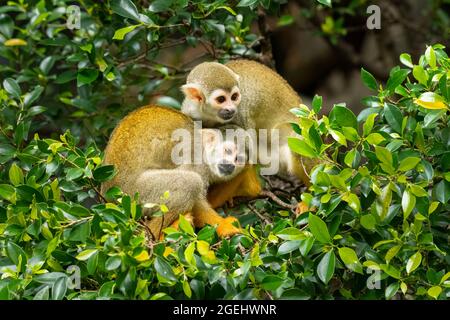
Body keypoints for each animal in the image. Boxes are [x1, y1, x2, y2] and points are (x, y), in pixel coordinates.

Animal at [101, 104, 250, 239]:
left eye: (238, 159)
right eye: (227, 151)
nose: (230, 165)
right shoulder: (195, 156)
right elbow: (198, 203)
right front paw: (225, 226)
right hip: (134, 193)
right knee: (191, 183)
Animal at [180, 60, 316, 210]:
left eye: (234, 97)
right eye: (221, 99)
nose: (231, 109)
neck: (209, 115)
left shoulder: (240, 111)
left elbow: (245, 142)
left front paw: (250, 189)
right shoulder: (190, 111)